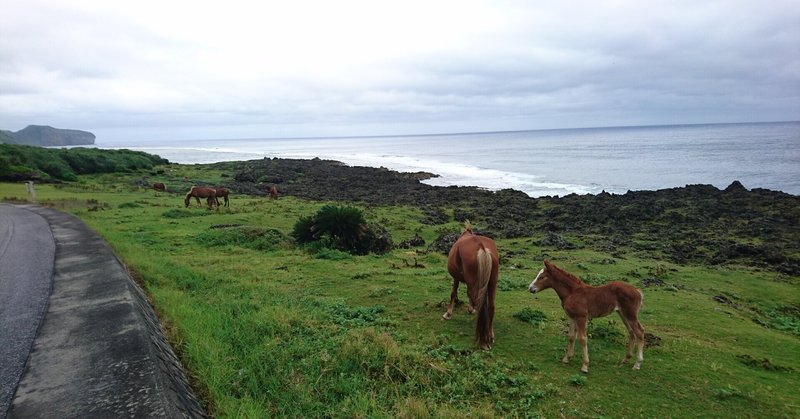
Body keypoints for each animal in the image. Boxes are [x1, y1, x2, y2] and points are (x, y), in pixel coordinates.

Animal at [444, 221, 500, 350]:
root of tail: (482, 247)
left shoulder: (456, 278)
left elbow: (453, 293)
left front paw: (448, 313)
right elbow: (468, 294)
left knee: (478, 303)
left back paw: (483, 339)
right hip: (492, 282)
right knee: (491, 306)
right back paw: (490, 335)